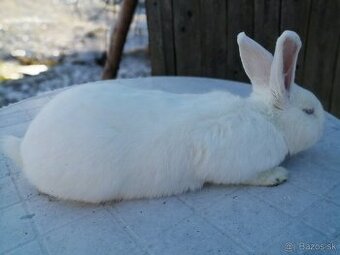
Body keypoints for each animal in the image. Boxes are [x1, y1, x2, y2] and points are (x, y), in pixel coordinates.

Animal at [0, 31, 324, 203]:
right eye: (309, 112)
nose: (322, 125)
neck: (268, 120)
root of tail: (24, 150)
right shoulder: (234, 165)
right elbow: (250, 176)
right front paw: (277, 176)